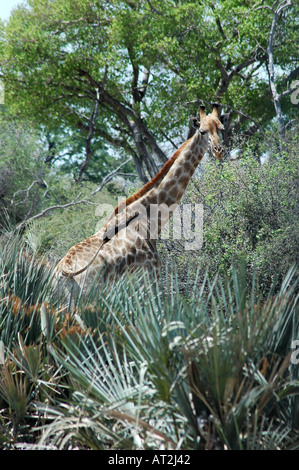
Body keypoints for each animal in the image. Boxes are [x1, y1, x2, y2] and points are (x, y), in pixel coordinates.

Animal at [55, 104, 226, 292]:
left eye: (221, 128)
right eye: (202, 131)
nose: (218, 150)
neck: (151, 220)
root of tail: (63, 271)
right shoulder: (149, 279)